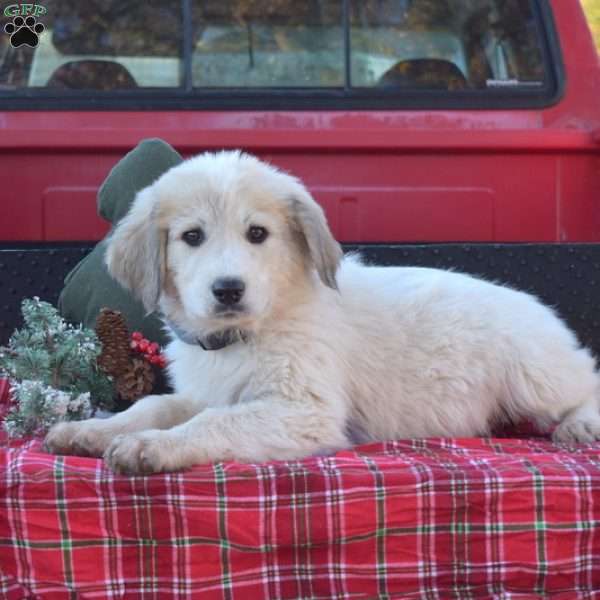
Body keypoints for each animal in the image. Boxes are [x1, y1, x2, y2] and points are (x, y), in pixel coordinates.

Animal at [45, 150, 600, 474]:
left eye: (257, 233)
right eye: (192, 236)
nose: (228, 289)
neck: (250, 333)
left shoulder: (303, 411)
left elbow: (215, 424)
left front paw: (150, 447)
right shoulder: (204, 391)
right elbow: (153, 406)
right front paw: (92, 431)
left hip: (534, 375)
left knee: (585, 382)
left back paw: (580, 424)